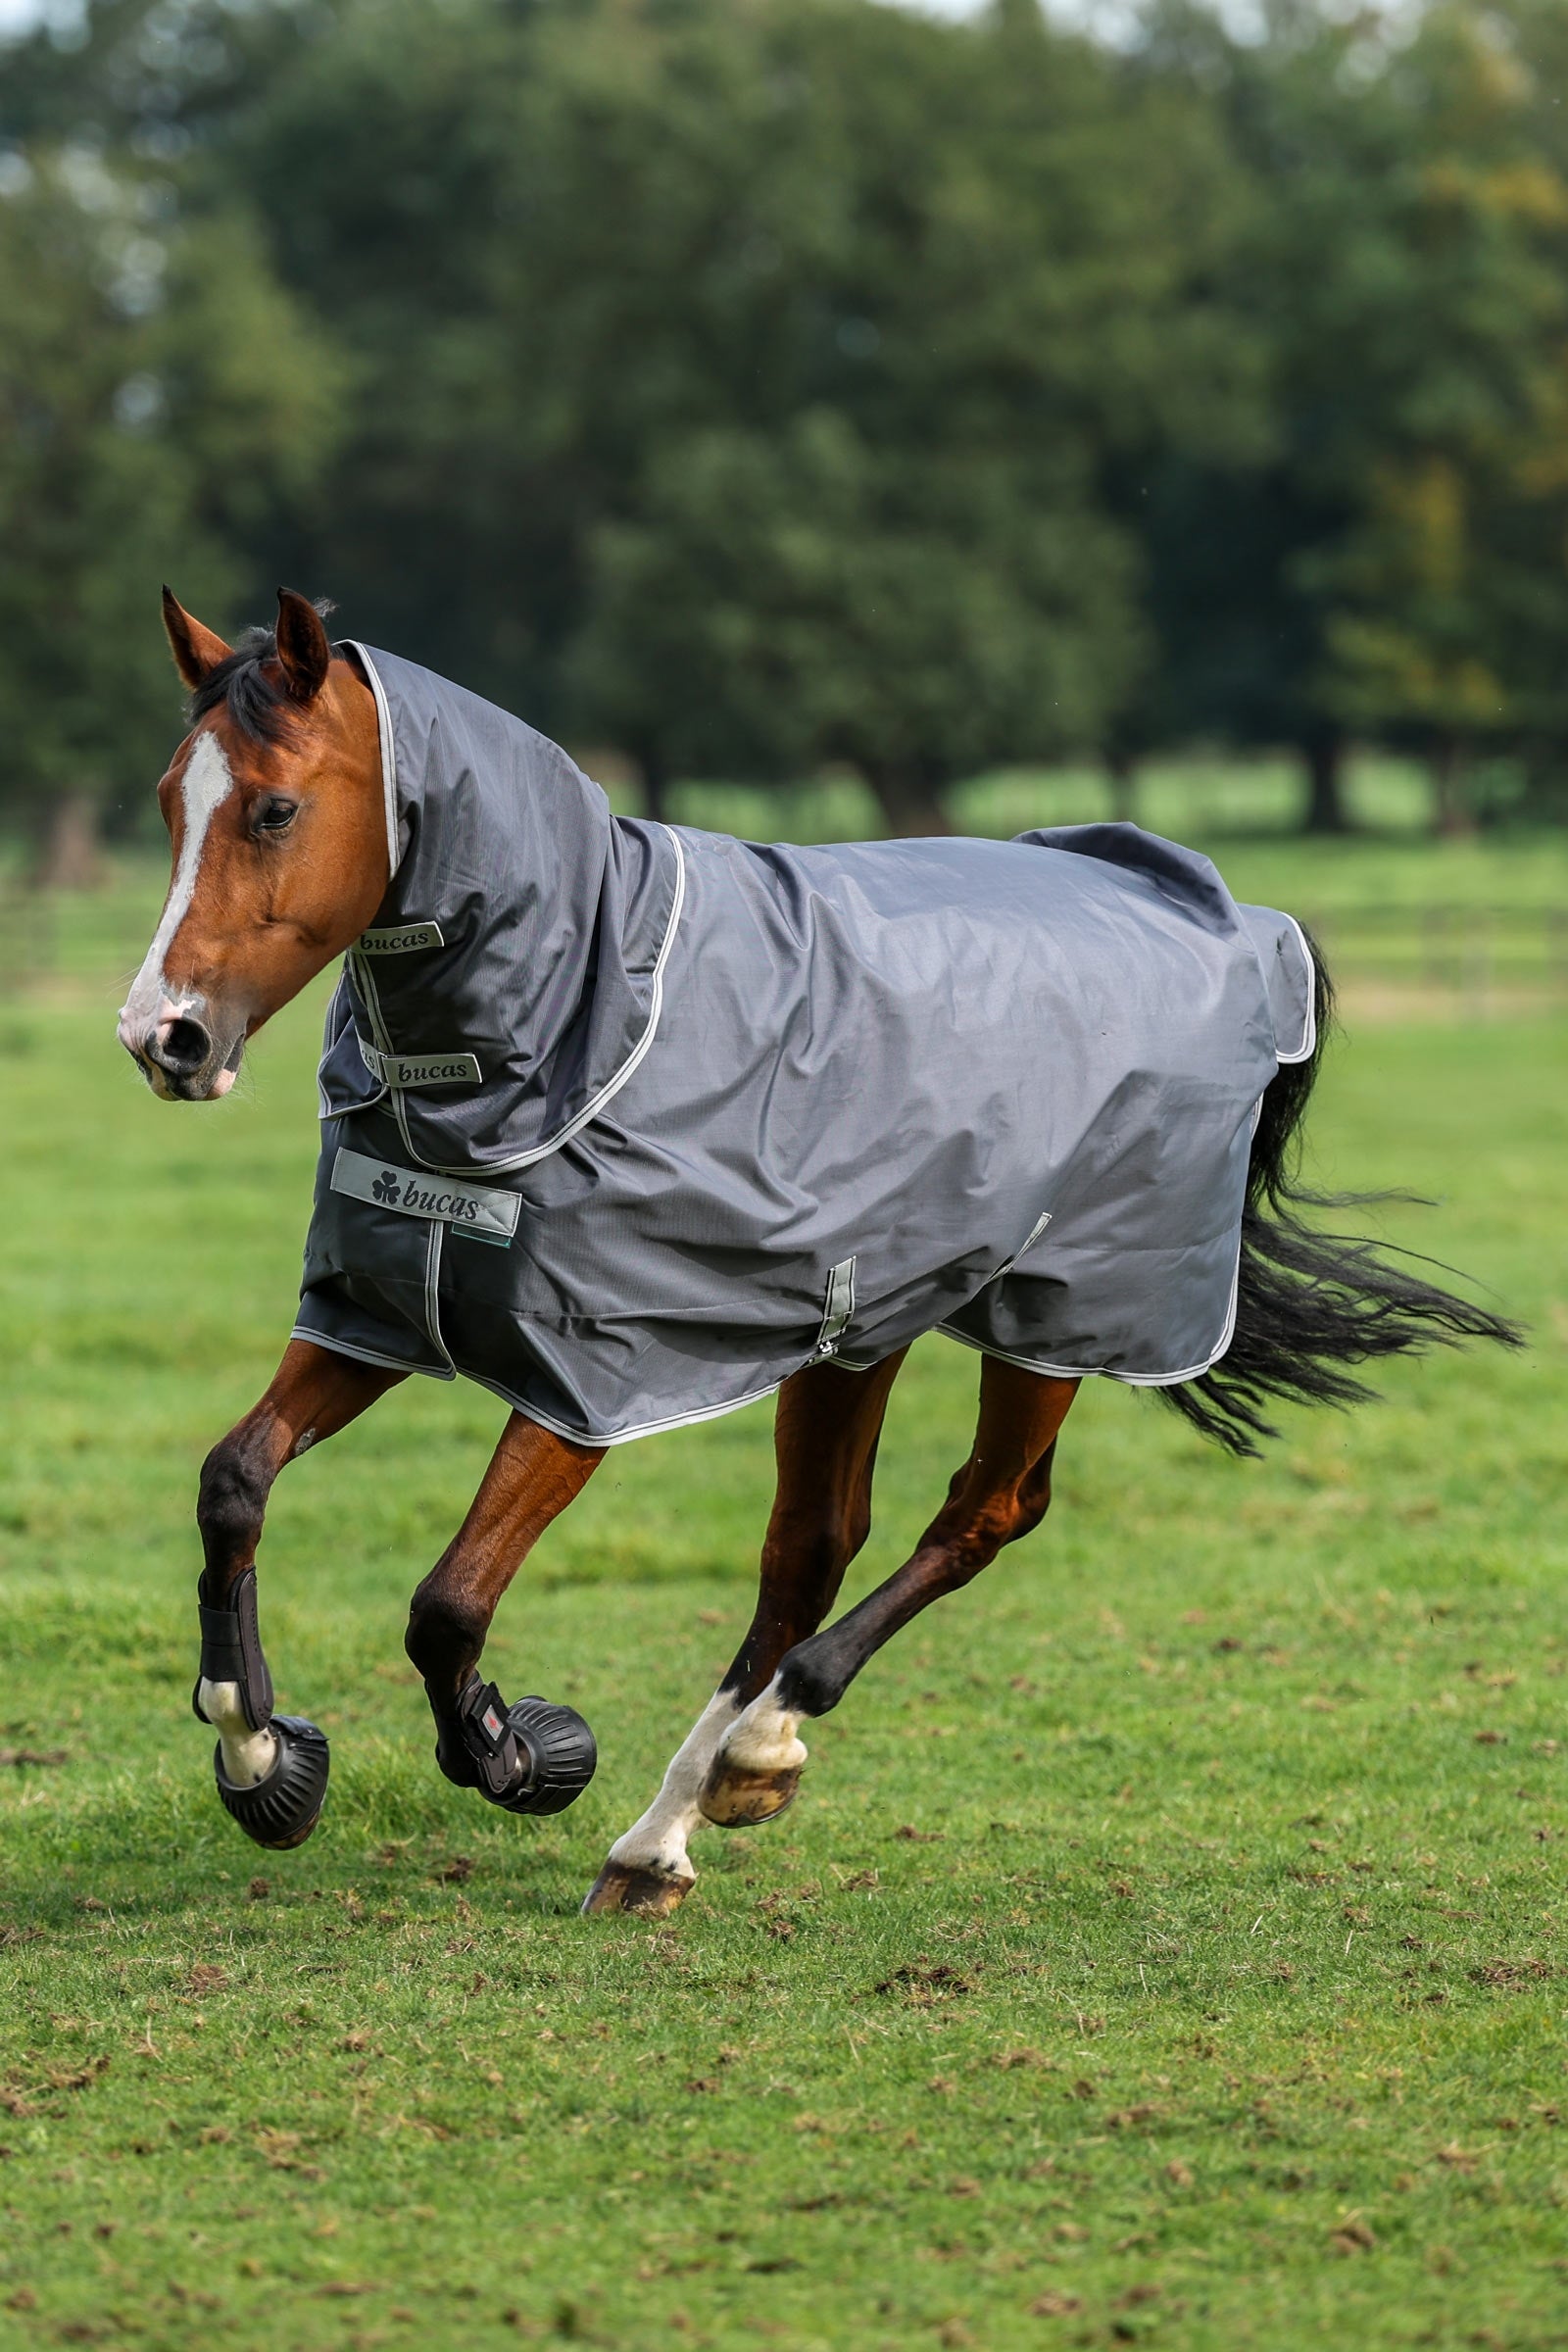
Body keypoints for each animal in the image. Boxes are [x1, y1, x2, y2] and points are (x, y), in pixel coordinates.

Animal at [118, 586, 1518, 1916]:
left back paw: (751, 1753)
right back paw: (670, 1830)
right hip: (860, 1327)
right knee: (811, 1549)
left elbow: (447, 1603)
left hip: (1056, 1314)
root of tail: (1235, 916)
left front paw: (521, 1753)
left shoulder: (588, 1382)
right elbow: (233, 1481)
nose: (163, 1038)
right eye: (171, 803)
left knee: (983, 1512)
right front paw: (262, 1759)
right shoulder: (380, 1313)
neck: (574, 1016)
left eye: (276, 811)